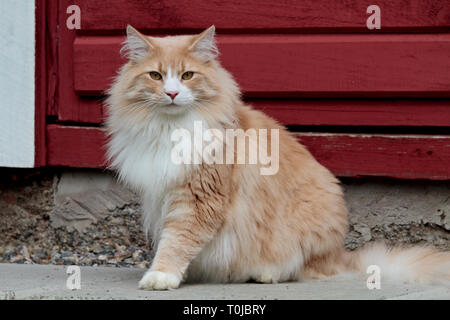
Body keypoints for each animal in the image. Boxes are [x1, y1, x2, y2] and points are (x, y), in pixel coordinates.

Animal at [103, 25, 448, 290]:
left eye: (187, 75)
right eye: (156, 76)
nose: (172, 93)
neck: (170, 129)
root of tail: (340, 255)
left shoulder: (198, 199)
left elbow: (177, 242)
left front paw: (161, 276)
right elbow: (172, 240)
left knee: (299, 269)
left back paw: (266, 274)